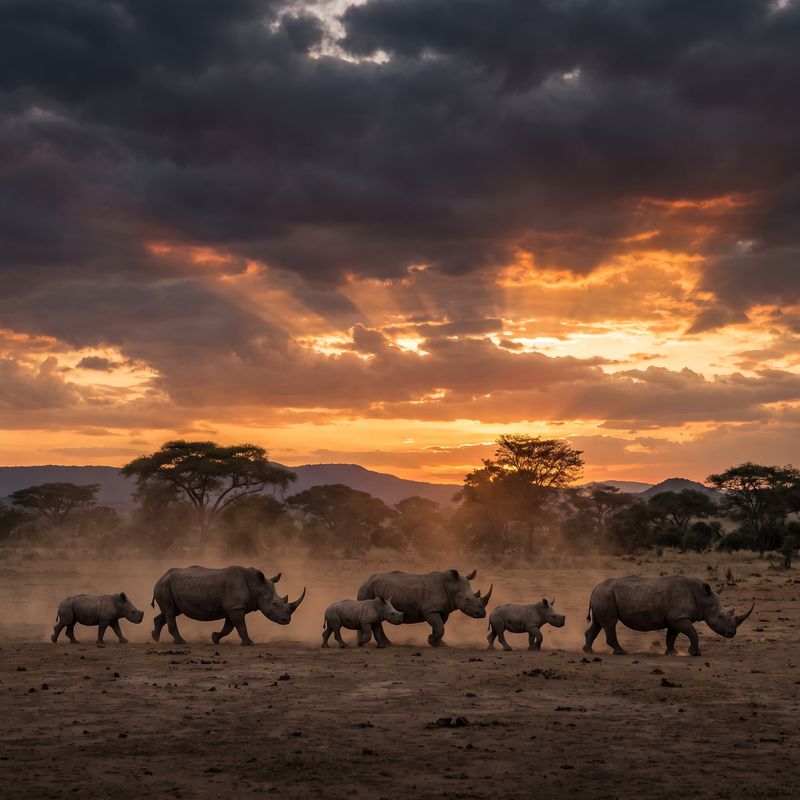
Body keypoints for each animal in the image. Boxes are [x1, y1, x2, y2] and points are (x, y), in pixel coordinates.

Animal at [151, 565, 306, 646]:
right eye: (274, 604)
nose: (287, 621)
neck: (256, 586)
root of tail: (159, 578)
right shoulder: (235, 607)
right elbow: (240, 626)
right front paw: (249, 643)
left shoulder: (233, 607)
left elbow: (229, 627)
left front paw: (214, 638)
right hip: (164, 586)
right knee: (170, 613)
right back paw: (181, 642)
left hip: (170, 586)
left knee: (171, 612)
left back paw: (155, 638)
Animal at [357, 569, 492, 647]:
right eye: (467, 599)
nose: (482, 613)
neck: (452, 587)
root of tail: (366, 579)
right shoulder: (429, 610)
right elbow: (440, 627)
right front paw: (431, 641)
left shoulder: (443, 610)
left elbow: (439, 627)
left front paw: (439, 643)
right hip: (367, 588)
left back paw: (388, 644)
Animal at [584, 575, 755, 656]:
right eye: (720, 616)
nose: (732, 633)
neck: (702, 597)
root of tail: (595, 587)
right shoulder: (679, 617)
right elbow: (692, 633)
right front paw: (695, 653)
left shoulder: (675, 618)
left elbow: (671, 636)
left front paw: (672, 653)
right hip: (605, 595)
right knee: (610, 623)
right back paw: (621, 652)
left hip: (603, 595)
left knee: (598, 624)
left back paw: (588, 651)